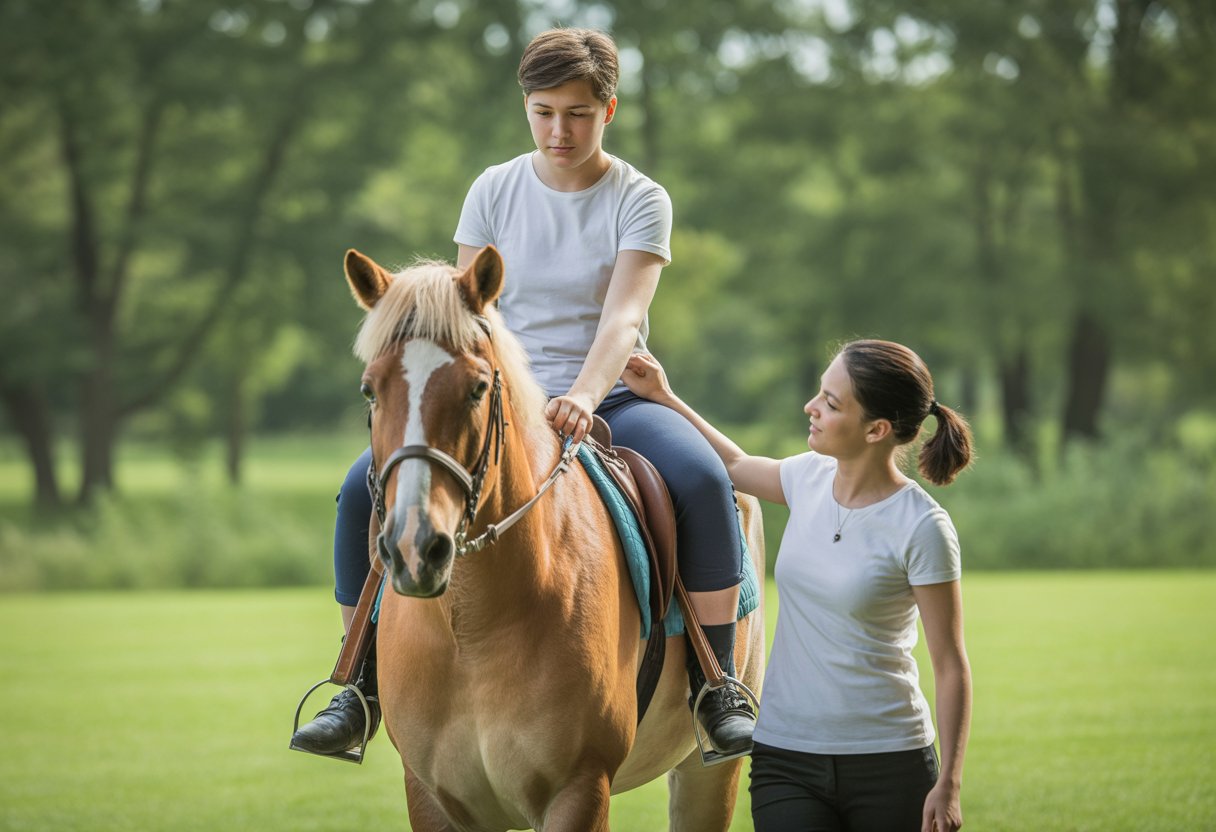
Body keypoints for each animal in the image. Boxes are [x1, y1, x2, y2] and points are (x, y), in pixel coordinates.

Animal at [344, 244, 765, 832]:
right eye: (370, 389)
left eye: (477, 388)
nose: (414, 548)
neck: (473, 629)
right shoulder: (433, 797)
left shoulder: (579, 788)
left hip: (709, 773)